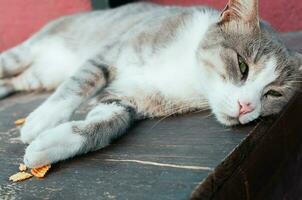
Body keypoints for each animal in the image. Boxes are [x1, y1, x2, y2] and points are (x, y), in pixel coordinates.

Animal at [0, 0, 302, 168]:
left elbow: (105, 123)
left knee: (17, 81)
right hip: (24, 53)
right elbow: (79, 83)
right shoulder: (109, 53)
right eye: (242, 65)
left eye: (273, 93)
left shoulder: (125, 99)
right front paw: (41, 121)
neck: (188, 72)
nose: (247, 106)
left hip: (38, 76)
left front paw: (48, 146)